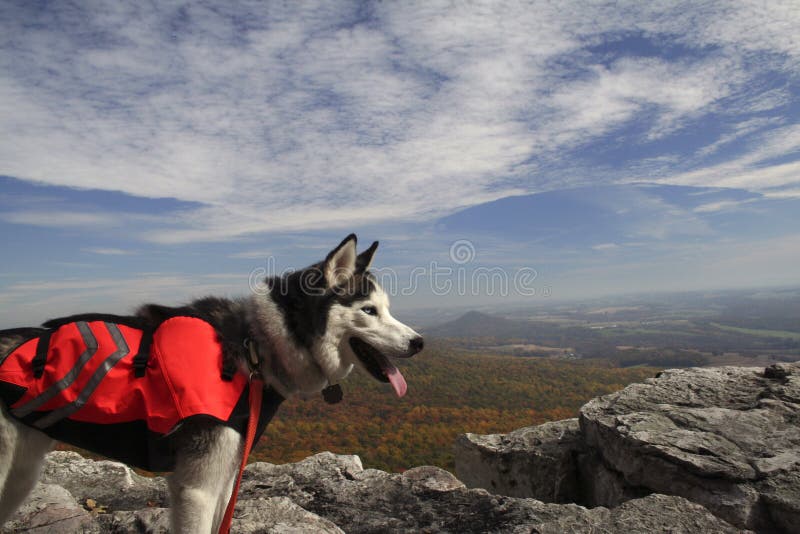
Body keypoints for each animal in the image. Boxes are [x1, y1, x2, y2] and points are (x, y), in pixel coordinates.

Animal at [0, 238, 422, 534]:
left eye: (387, 309)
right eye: (369, 311)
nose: (419, 342)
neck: (255, 346)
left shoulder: (223, 479)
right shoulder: (197, 489)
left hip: (21, 477)